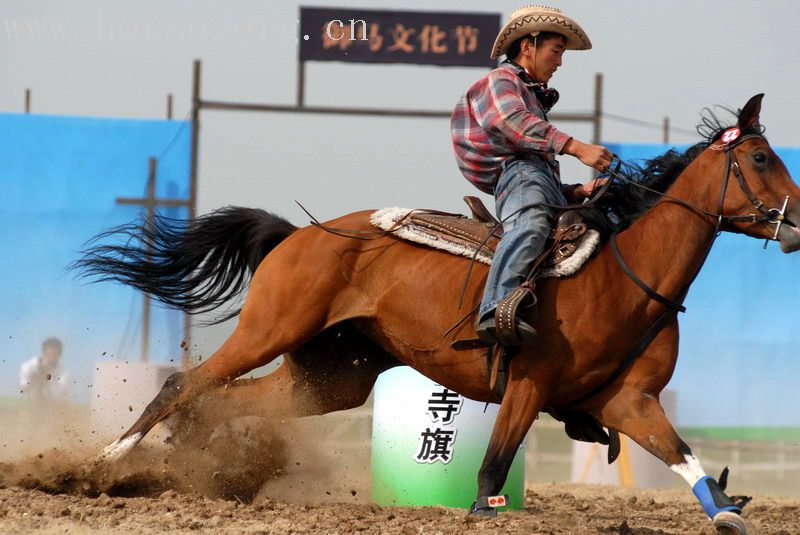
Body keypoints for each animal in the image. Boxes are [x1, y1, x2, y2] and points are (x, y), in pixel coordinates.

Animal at [79, 94, 800, 532]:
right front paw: (484, 509)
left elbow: (684, 455)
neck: (626, 273)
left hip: (331, 376)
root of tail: (297, 235)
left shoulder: (629, 400)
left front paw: (728, 512)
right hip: (269, 329)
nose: (796, 222)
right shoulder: (529, 384)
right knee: (183, 384)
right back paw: (103, 464)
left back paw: (197, 468)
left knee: (224, 398)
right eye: (761, 157)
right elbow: (490, 470)